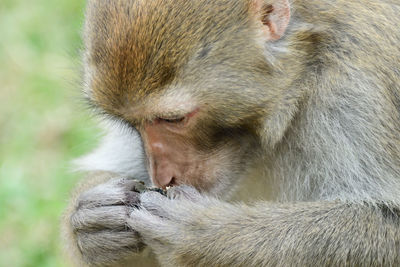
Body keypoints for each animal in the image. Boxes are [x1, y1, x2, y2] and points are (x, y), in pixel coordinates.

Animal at [61, 0, 400, 266]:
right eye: (132, 123)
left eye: (174, 118)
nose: (163, 176)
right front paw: (92, 224)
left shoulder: (355, 91)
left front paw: (205, 236)